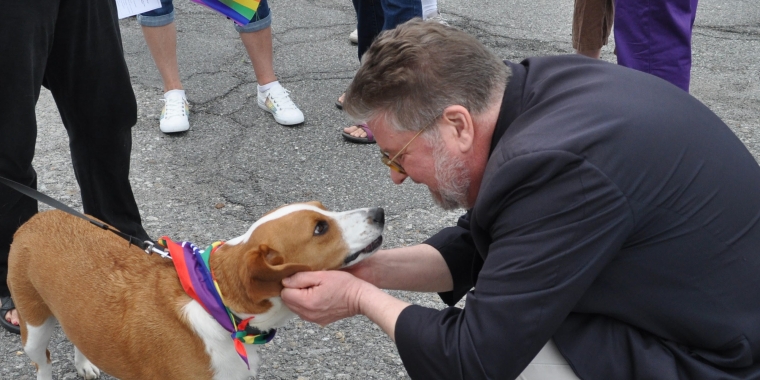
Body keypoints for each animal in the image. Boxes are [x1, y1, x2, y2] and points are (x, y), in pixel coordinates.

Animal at [8, 203, 382, 380]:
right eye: (320, 229)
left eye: (324, 209)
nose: (379, 212)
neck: (218, 307)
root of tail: (36, 219)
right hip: (33, 329)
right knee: (42, 362)